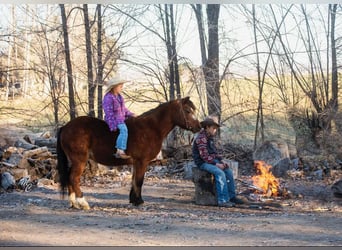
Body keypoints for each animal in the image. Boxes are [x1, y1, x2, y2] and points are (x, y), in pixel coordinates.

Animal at [55, 96, 200, 210]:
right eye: (188, 110)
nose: (199, 126)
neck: (151, 128)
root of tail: (65, 127)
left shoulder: (136, 162)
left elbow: (134, 180)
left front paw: (133, 200)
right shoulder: (142, 161)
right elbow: (139, 181)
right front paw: (139, 201)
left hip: (74, 161)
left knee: (69, 177)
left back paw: (74, 203)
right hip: (80, 160)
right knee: (74, 178)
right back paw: (83, 203)